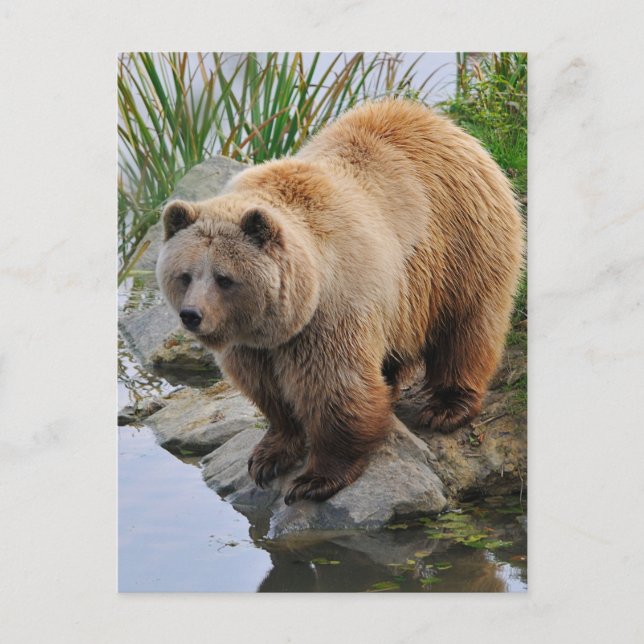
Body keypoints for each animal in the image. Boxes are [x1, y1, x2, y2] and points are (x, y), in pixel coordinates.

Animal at [156, 98, 524, 505]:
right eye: (185, 275)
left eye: (224, 278)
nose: (192, 315)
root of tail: (439, 121)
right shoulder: (253, 343)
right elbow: (267, 390)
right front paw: (268, 456)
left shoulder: (330, 312)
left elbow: (335, 389)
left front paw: (315, 479)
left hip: (459, 242)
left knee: (466, 326)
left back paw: (447, 407)